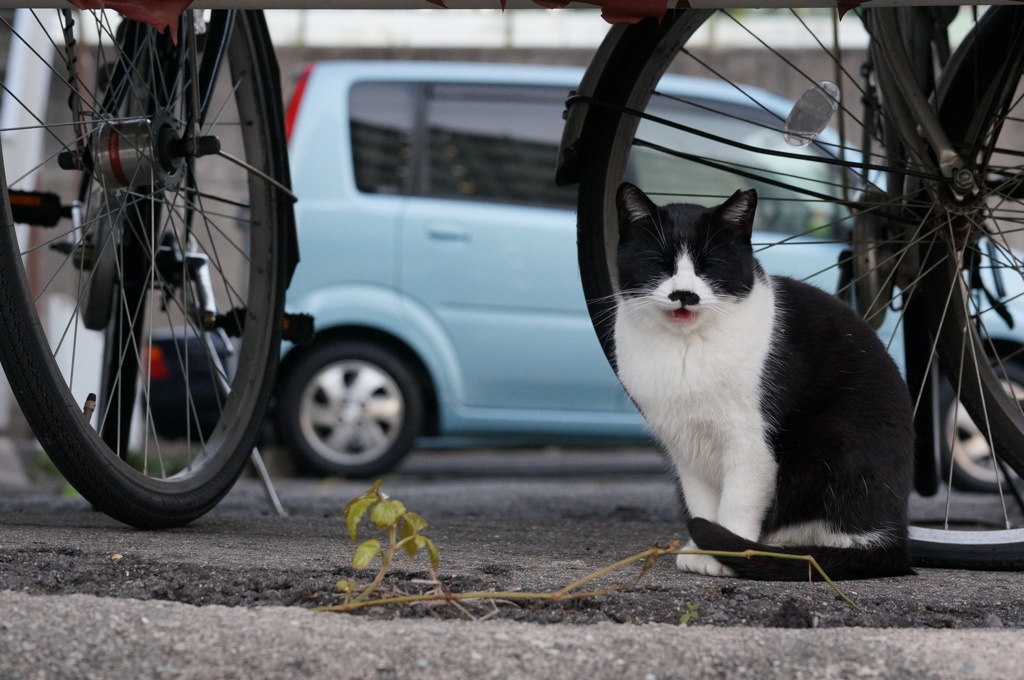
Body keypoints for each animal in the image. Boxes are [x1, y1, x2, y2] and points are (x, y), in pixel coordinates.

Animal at [610, 183, 917, 581]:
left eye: (710, 266)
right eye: (660, 264)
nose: (684, 294)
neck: (686, 349)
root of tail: (898, 537)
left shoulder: (750, 441)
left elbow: (739, 500)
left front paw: (726, 554)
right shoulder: (685, 447)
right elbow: (700, 501)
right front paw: (705, 549)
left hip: (839, 445)